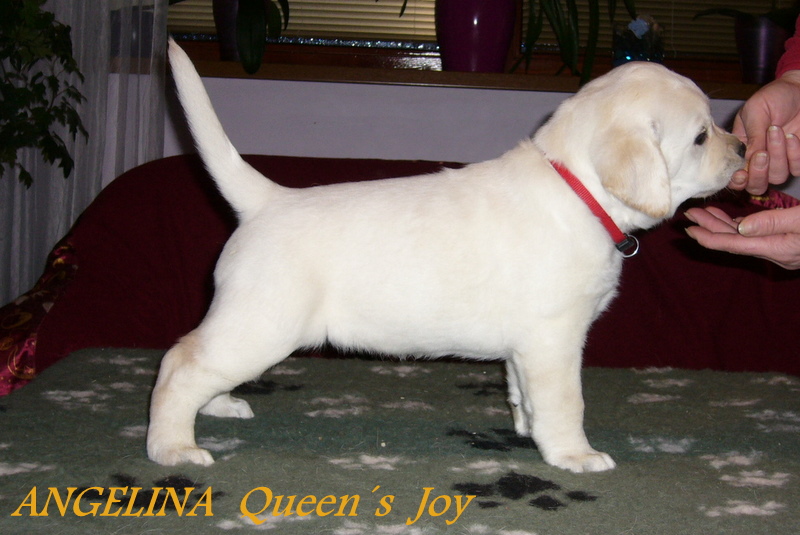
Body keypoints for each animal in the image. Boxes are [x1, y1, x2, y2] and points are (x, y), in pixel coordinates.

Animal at [148, 39, 745, 473]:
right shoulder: (555, 336)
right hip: (263, 324)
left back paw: (218, 407)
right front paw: (575, 455)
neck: (577, 190)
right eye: (700, 136)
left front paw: (528, 430)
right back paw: (172, 447)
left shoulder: (527, 346)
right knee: (181, 363)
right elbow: (566, 402)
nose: (741, 147)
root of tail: (267, 200)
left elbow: (522, 392)